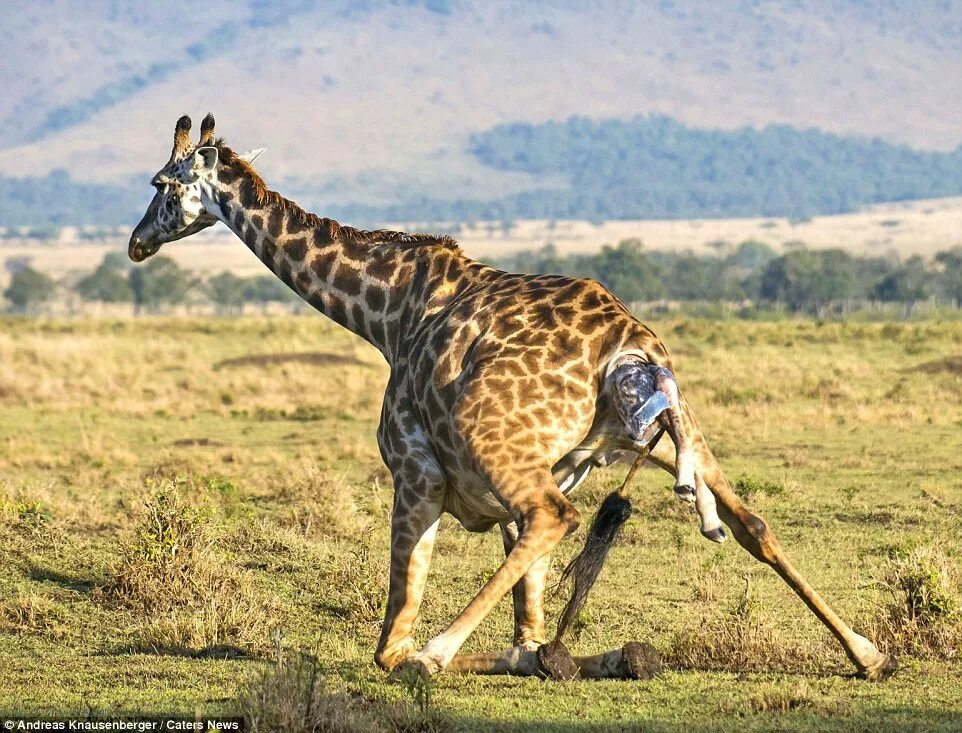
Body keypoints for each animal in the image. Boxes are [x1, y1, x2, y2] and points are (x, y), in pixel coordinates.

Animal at [127, 114, 892, 680]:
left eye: (162, 183)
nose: (136, 242)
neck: (386, 312)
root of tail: (629, 344)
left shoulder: (416, 471)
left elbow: (393, 634)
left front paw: (436, 653)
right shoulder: (522, 482)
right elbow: (526, 625)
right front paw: (569, 654)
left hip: (492, 434)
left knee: (557, 516)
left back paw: (438, 653)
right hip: (678, 431)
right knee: (752, 523)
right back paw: (866, 652)